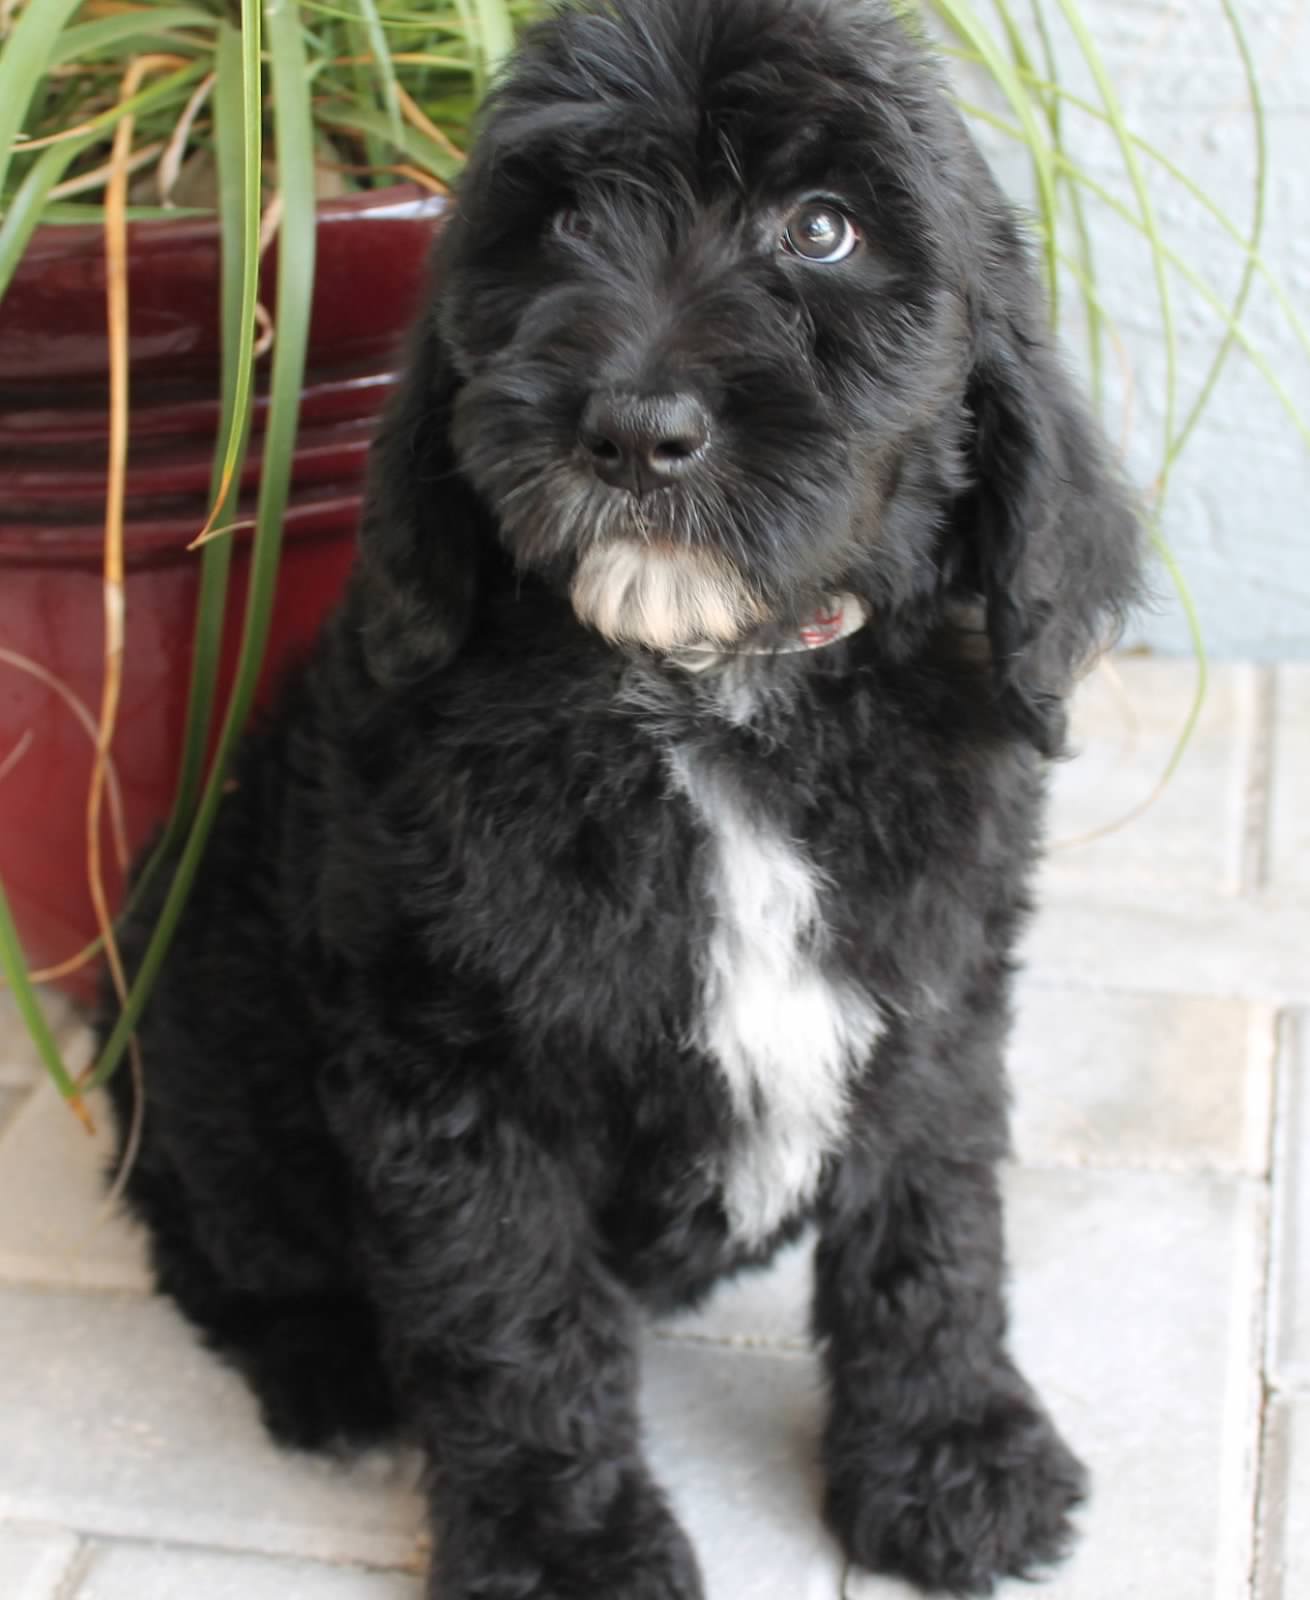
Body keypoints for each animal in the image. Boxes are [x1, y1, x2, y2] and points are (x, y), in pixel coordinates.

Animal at [107, 3, 1145, 1600]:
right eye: (562, 225)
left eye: (822, 227)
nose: (636, 428)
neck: (714, 693)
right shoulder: (456, 1070)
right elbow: (512, 1317)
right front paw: (564, 1549)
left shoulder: (930, 996)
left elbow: (929, 1221)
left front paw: (951, 1454)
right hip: (203, 1021)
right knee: (212, 1228)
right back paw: (328, 1374)